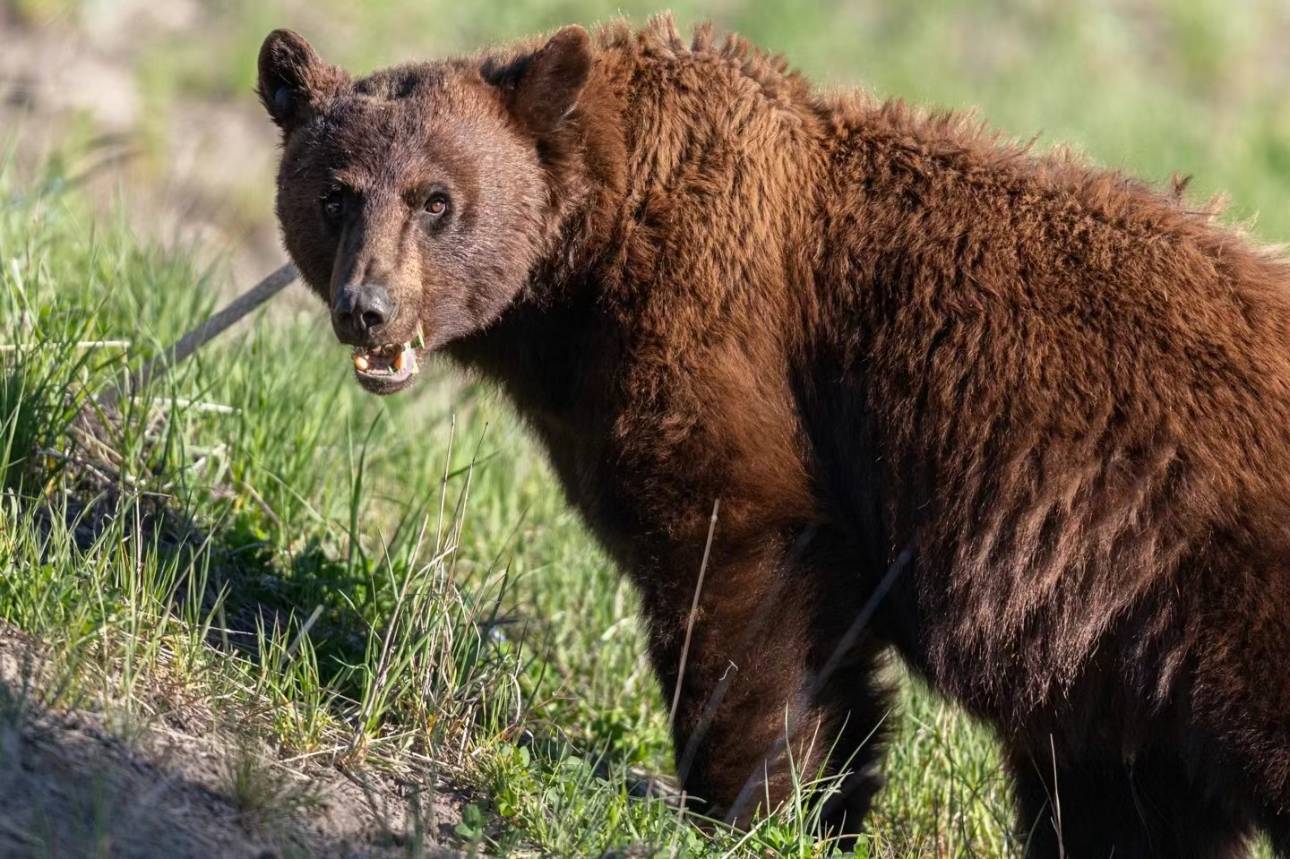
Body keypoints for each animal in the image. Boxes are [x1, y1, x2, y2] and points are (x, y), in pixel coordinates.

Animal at [257, 15, 1290, 856]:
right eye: (336, 195)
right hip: (1128, 649)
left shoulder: (725, 338)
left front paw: (747, 803)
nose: (367, 308)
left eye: (435, 199)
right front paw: (814, 805)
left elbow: (745, 581)